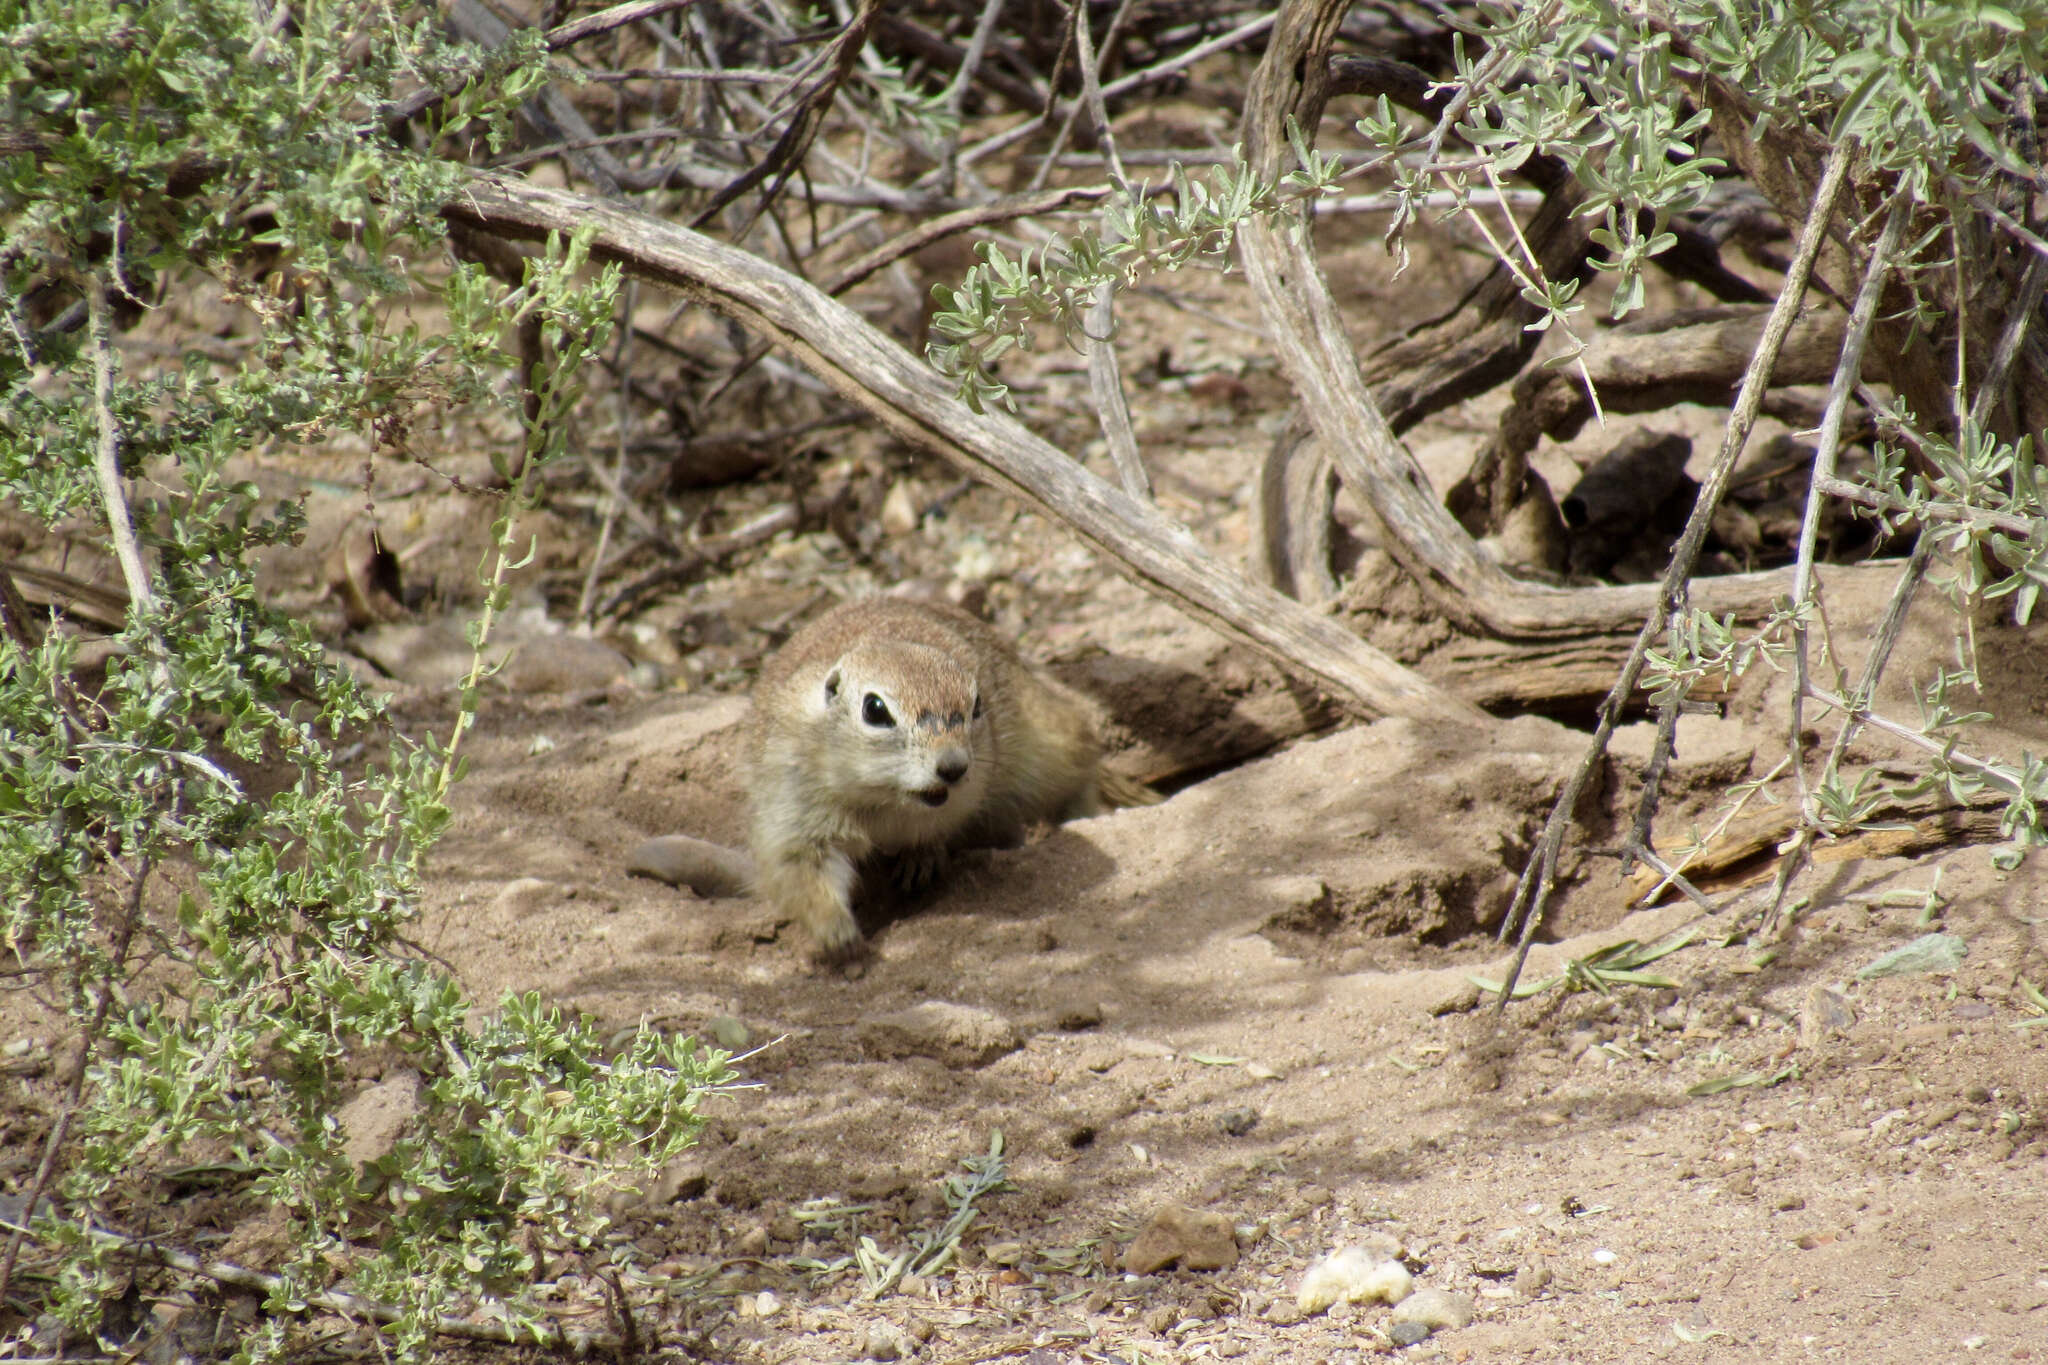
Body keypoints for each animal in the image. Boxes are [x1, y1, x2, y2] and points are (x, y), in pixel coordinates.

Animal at [745, 597, 1163, 961]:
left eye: (977, 706)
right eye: (875, 709)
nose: (954, 766)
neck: (884, 799)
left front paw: (921, 859)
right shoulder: (792, 802)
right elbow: (801, 870)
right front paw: (838, 936)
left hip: (1052, 742)